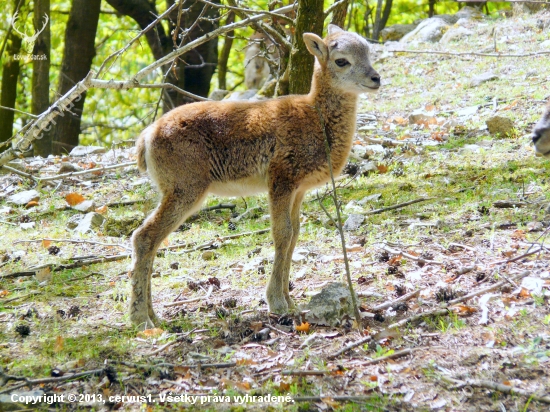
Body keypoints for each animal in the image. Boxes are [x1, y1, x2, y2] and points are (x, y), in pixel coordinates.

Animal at [130, 25, 380, 328]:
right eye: (341, 60)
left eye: (369, 52)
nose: (375, 78)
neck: (315, 118)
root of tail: (146, 139)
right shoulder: (281, 180)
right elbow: (282, 233)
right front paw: (278, 303)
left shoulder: (299, 189)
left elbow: (295, 233)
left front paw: (291, 302)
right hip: (185, 189)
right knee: (144, 236)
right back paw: (141, 319)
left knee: (151, 240)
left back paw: (155, 317)